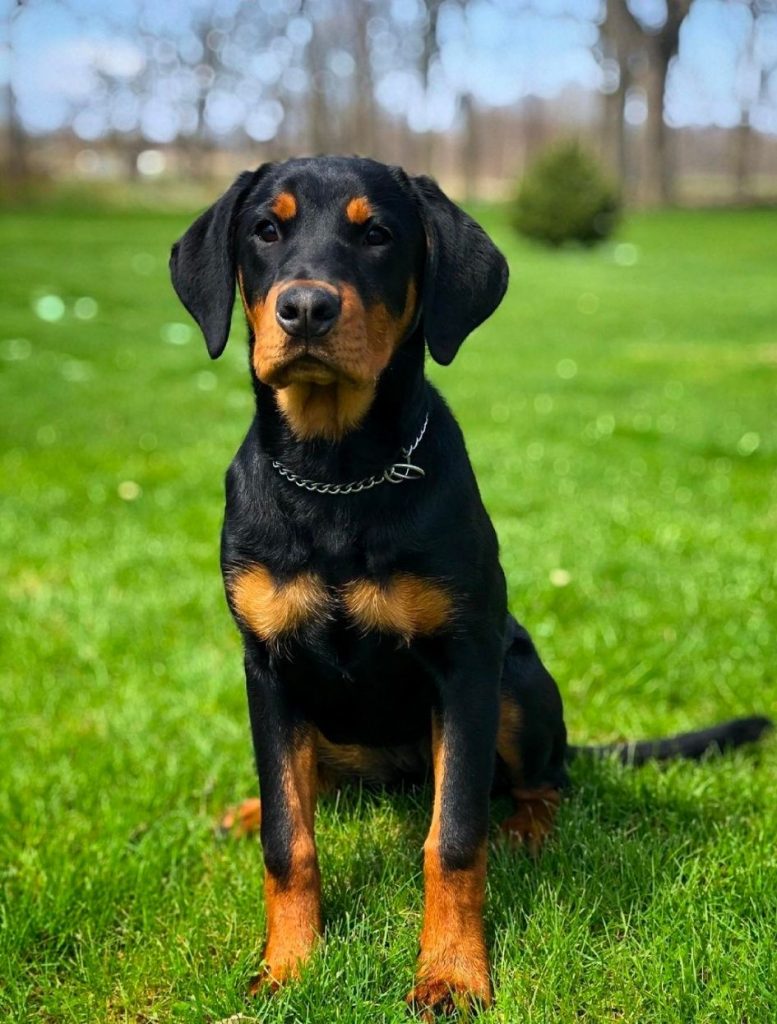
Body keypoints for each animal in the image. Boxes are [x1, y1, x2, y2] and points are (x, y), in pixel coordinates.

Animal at [169, 153, 773, 1015]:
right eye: (265, 230)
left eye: (378, 234)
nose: (306, 309)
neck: (336, 474)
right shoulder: (268, 667)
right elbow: (291, 840)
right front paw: (287, 967)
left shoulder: (462, 663)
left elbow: (452, 836)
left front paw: (452, 974)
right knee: (311, 784)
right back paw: (254, 805)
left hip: (513, 677)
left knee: (543, 780)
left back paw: (528, 829)